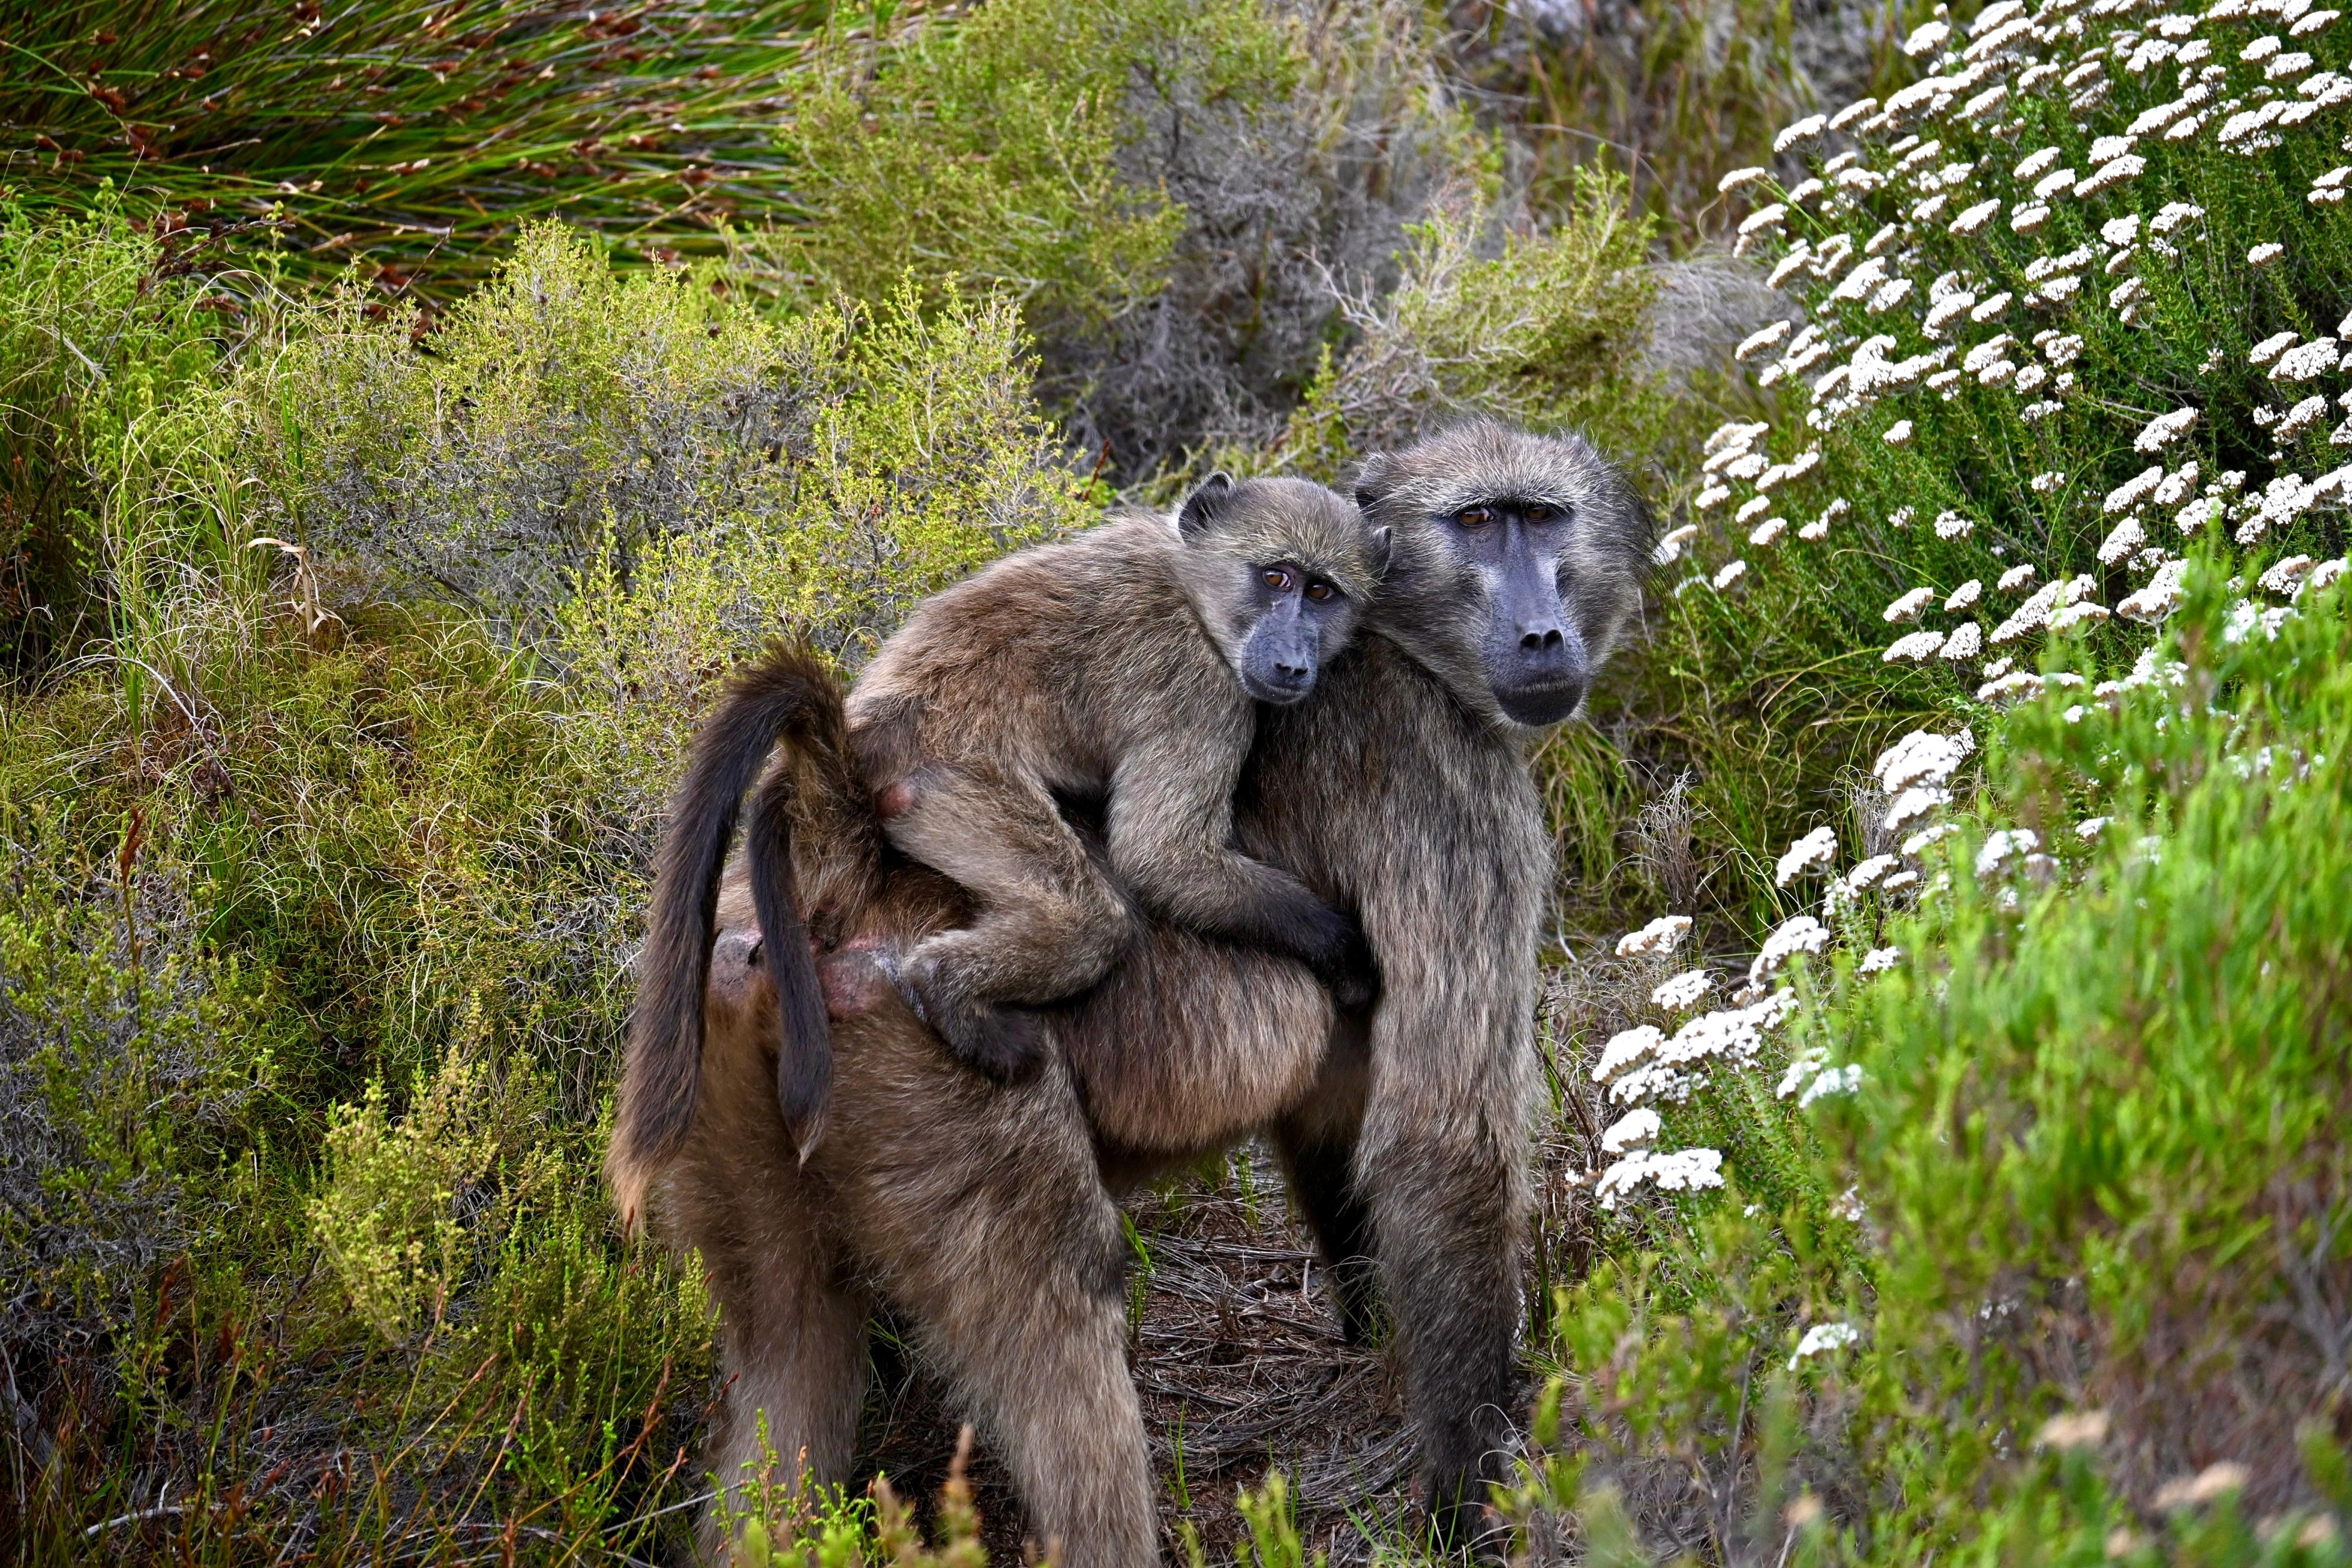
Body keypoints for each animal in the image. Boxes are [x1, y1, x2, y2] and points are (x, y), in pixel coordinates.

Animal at [606, 419, 1652, 1564]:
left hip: (728, 1081)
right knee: (1062, 1331)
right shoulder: (1444, 780)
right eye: (1479, 521)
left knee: (791, 1363)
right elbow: (1443, 1134)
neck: (1390, 637)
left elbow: (1339, 1130)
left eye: (1545, 517)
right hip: (936, 1085)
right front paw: (1469, 1504)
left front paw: (1375, 1337)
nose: (1544, 636)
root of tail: (833, 849)